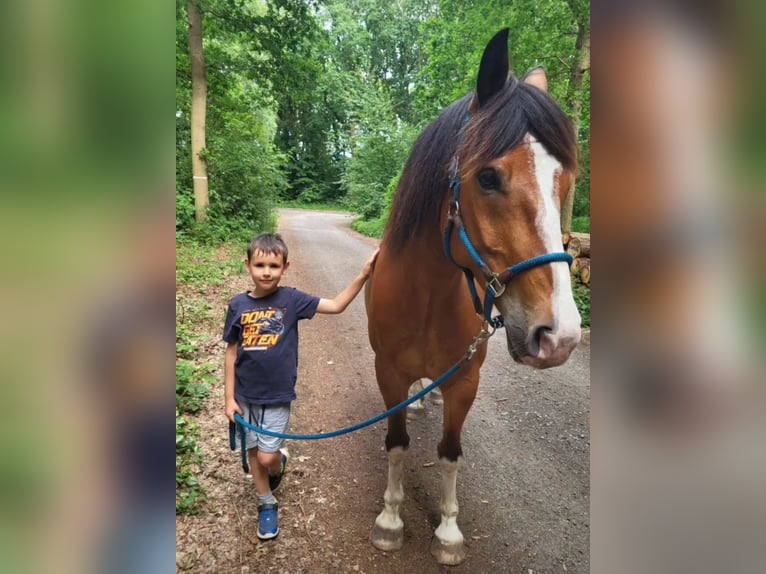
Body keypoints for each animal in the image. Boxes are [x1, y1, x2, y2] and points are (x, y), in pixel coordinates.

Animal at [366, 29, 584, 564]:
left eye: (567, 181)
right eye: (488, 177)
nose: (561, 335)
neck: (428, 295)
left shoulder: (466, 380)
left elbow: (450, 453)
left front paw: (447, 531)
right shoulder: (388, 372)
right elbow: (396, 443)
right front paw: (390, 519)